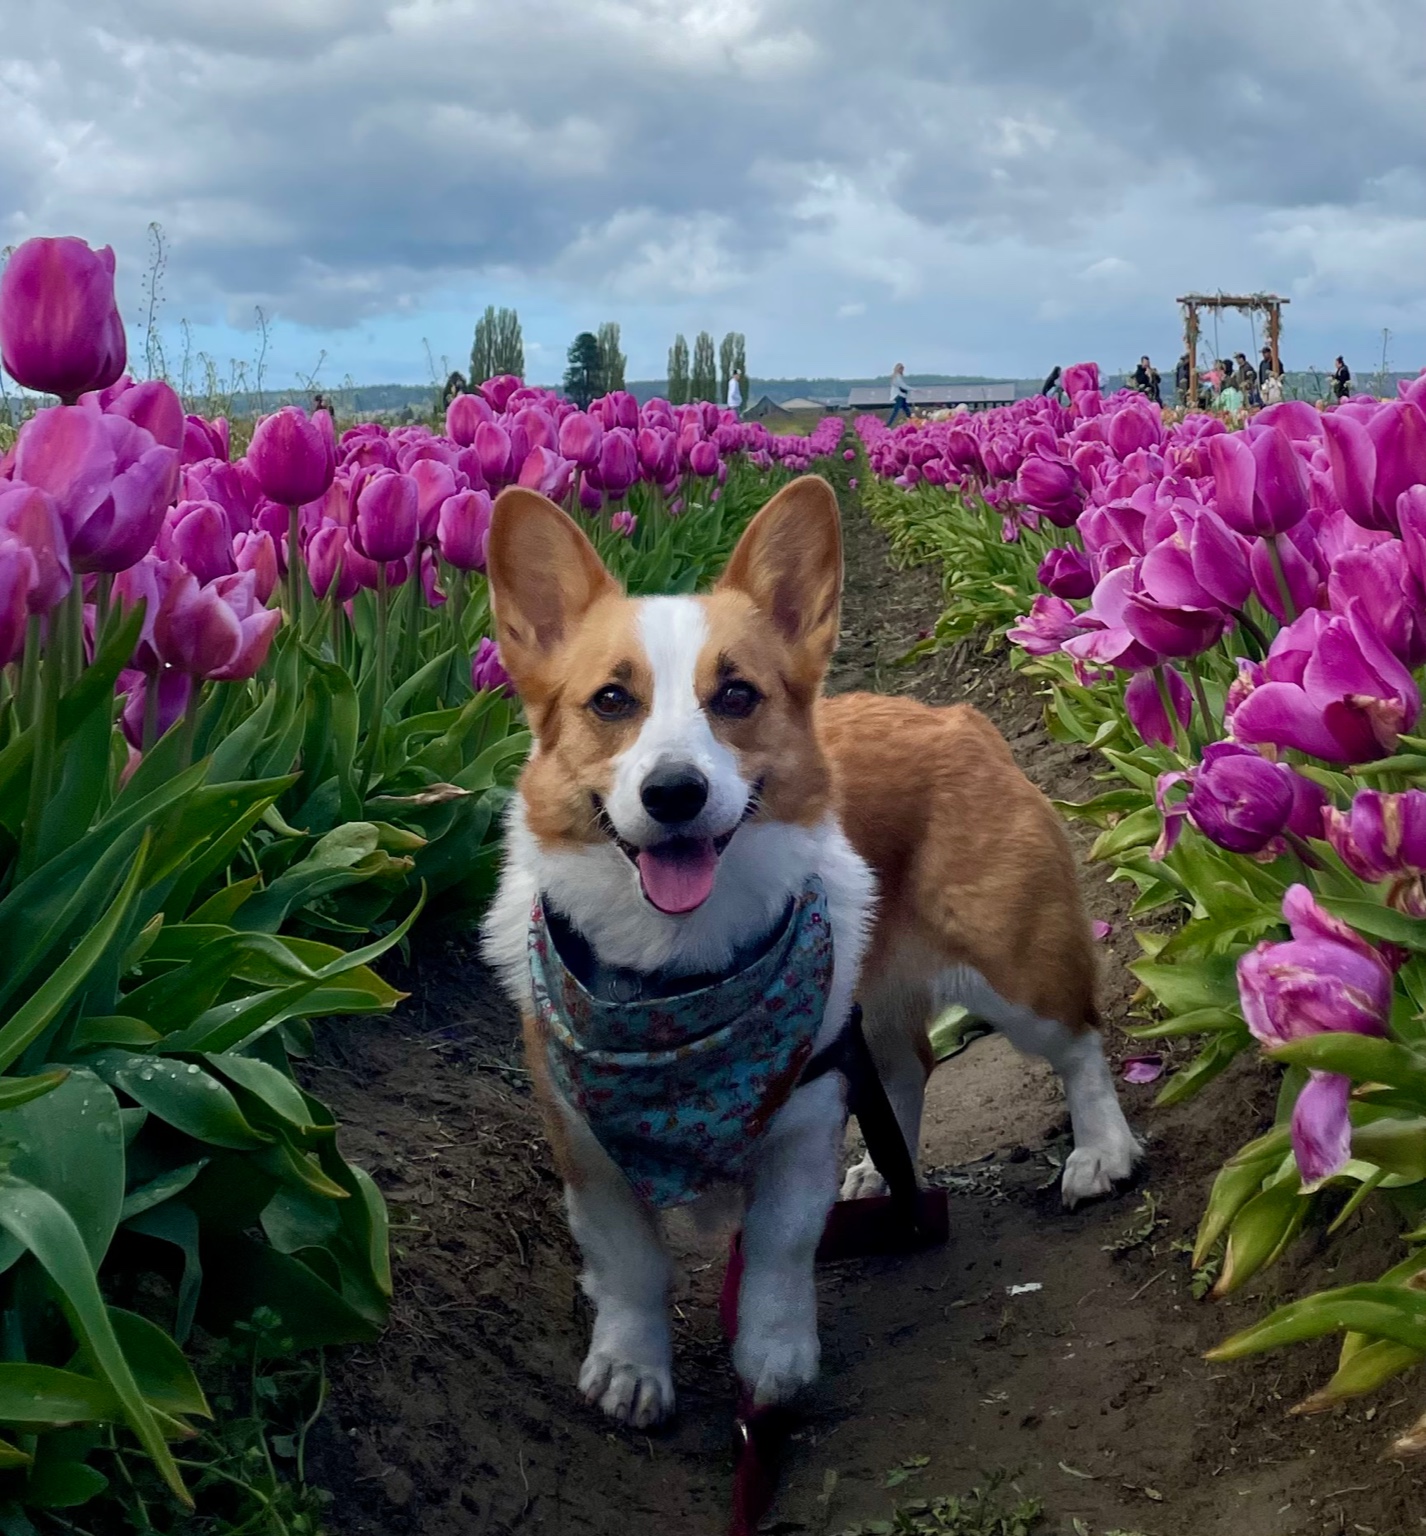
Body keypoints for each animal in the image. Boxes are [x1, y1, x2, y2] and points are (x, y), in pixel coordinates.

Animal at [485, 476, 1143, 1425]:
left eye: (736, 695)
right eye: (611, 701)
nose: (675, 793)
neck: (679, 976)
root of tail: (956, 715)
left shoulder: (797, 1117)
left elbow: (777, 1248)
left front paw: (774, 1361)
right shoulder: (585, 1140)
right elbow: (629, 1267)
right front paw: (632, 1370)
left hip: (1011, 965)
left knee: (1078, 1045)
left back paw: (1101, 1153)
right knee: (905, 1066)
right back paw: (879, 1172)